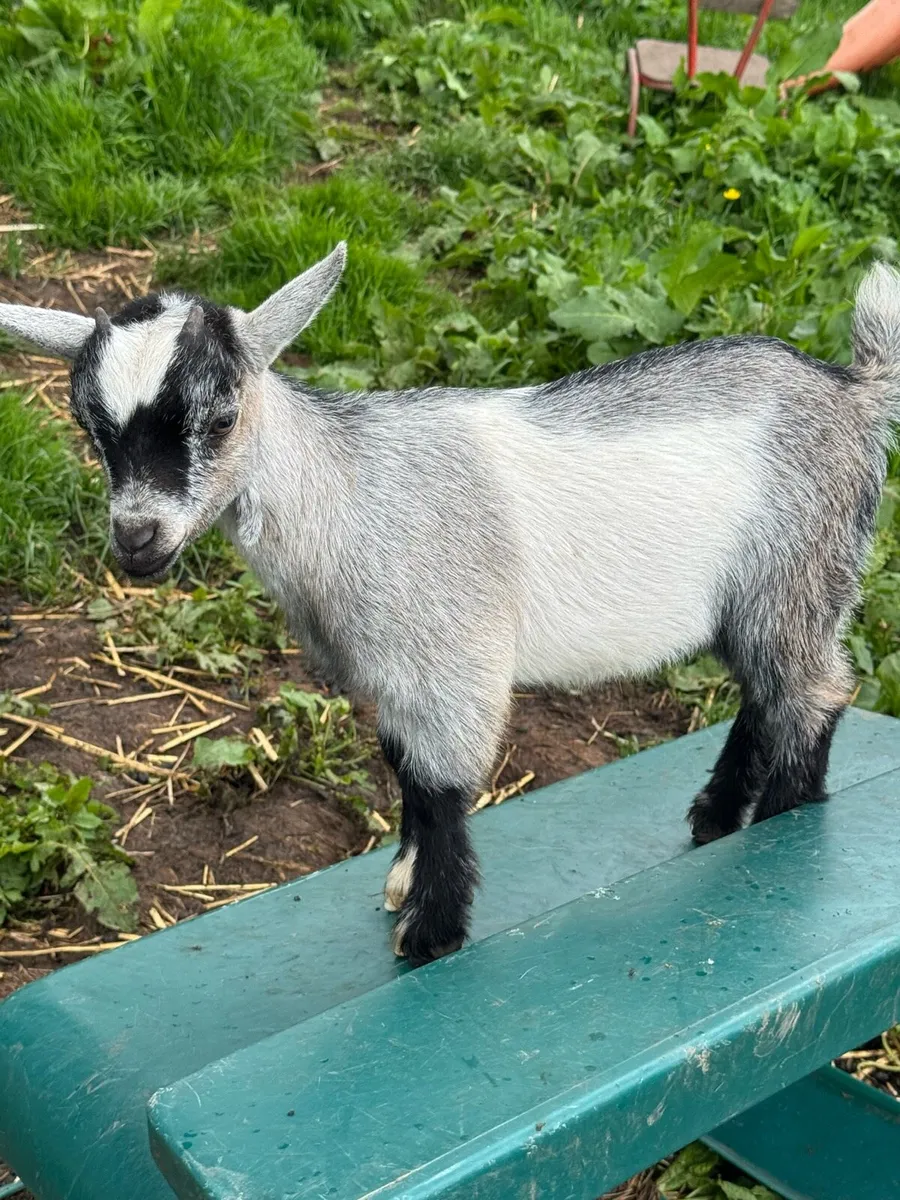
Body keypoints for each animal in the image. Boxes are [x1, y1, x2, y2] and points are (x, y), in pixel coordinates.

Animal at [2, 250, 899, 965]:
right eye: (90, 426)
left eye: (220, 418)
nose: (137, 539)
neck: (346, 492)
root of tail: (854, 394)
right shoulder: (397, 677)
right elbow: (403, 769)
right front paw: (404, 883)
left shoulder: (450, 662)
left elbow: (440, 785)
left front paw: (430, 935)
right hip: (764, 595)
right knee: (767, 692)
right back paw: (717, 815)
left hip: (801, 566)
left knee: (813, 691)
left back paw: (783, 818)